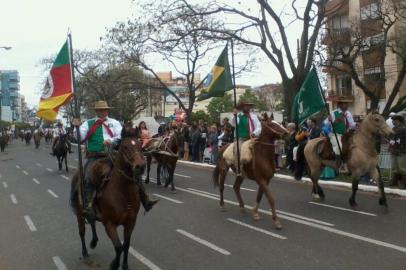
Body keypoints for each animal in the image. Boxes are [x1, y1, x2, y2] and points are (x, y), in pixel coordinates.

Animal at [70, 128, 146, 270]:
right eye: (125, 147)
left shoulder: (131, 223)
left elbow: (126, 245)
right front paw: (114, 264)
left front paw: (125, 265)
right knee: (82, 231)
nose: (141, 166)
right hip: (79, 212)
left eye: (140, 145)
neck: (123, 193)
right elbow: (118, 247)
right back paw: (85, 251)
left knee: (92, 221)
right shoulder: (110, 224)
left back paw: (94, 242)